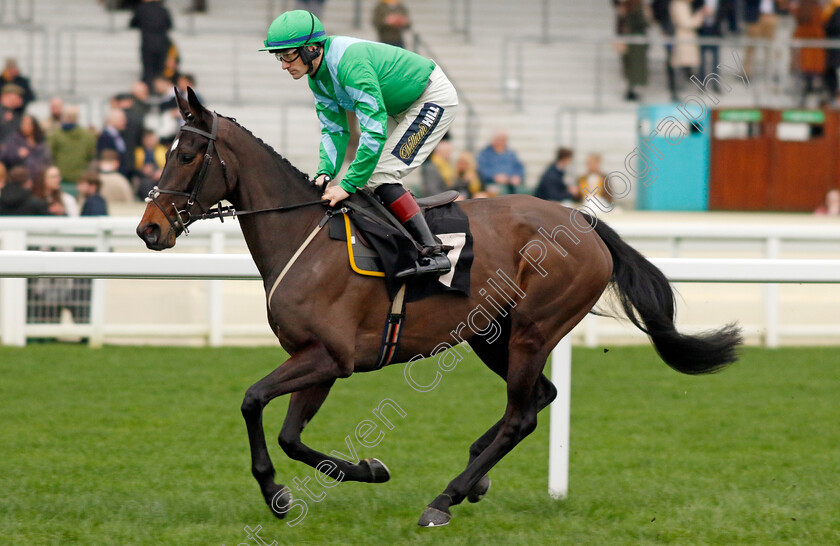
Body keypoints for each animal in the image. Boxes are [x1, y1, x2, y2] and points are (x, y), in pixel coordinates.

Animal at [135, 89, 740, 528]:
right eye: (163, 153)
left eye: (186, 155)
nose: (149, 229)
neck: (303, 234)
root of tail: (586, 225)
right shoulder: (319, 360)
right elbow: (290, 435)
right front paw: (365, 470)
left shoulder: (329, 357)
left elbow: (252, 400)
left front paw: (274, 491)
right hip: (492, 334)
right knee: (539, 397)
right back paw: (474, 473)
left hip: (532, 330)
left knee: (521, 414)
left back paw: (446, 498)